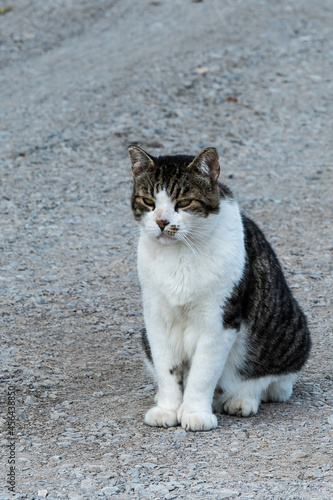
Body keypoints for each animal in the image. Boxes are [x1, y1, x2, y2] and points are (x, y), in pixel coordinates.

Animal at [127, 145, 312, 430]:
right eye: (148, 202)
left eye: (183, 202)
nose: (161, 221)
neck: (180, 254)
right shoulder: (155, 316)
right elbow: (167, 368)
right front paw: (168, 408)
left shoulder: (219, 319)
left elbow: (203, 372)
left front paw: (195, 412)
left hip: (290, 333)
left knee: (271, 383)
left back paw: (242, 399)